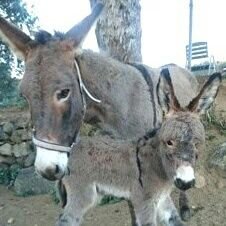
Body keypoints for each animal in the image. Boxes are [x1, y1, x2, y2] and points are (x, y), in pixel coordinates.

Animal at [55, 69, 222, 225]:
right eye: (169, 142)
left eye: (197, 143)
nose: (185, 182)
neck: (158, 165)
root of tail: (71, 148)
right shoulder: (144, 201)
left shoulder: (163, 199)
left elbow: (175, 220)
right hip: (82, 194)